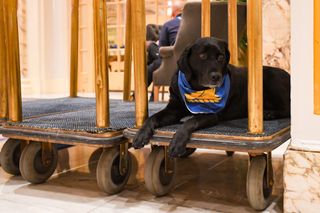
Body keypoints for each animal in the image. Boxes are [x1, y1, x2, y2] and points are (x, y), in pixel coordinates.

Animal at [132, 36, 290, 157]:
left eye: (221, 57)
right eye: (202, 56)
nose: (216, 77)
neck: (195, 88)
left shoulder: (210, 114)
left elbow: (190, 122)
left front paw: (177, 142)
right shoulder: (173, 110)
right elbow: (152, 118)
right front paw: (141, 134)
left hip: (272, 79)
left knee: (289, 110)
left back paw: (269, 114)